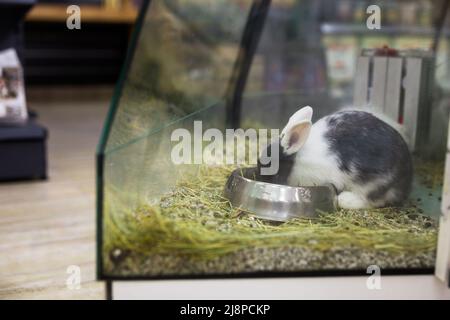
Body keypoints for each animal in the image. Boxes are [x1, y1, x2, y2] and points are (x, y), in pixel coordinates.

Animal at [258, 105, 414, 210]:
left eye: (271, 168)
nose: (261, 177)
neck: (296, 159)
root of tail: (406, 183)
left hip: (374, 184)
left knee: (374, 200)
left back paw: (344, 199)